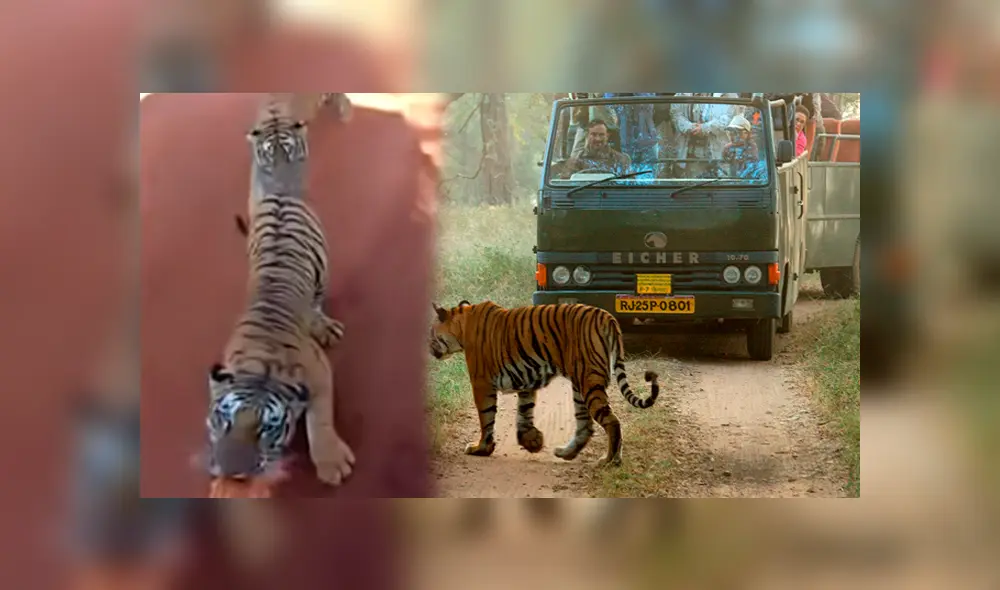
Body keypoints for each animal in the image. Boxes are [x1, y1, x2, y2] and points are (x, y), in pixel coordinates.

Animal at [202, 94, 354, 488]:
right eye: (223, 421)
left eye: (264, 429)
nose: (233, 471)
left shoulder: (320, 374)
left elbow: (320, 420)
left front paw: (332, 465)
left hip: (322, 269)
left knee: (317, 303)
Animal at [428, 300, 659, 467]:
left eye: (431, 333)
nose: (429, 348)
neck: (462, 325)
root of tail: (607, 316)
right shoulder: (526, 381)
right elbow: (524, 413)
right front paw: (532, 441)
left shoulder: (481, 383)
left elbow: (486, 418)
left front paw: (481, 448)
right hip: (580, 385)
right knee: (585, 425)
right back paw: (569, 453)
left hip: (589, 382)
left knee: (611, 421)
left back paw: (608, 460)